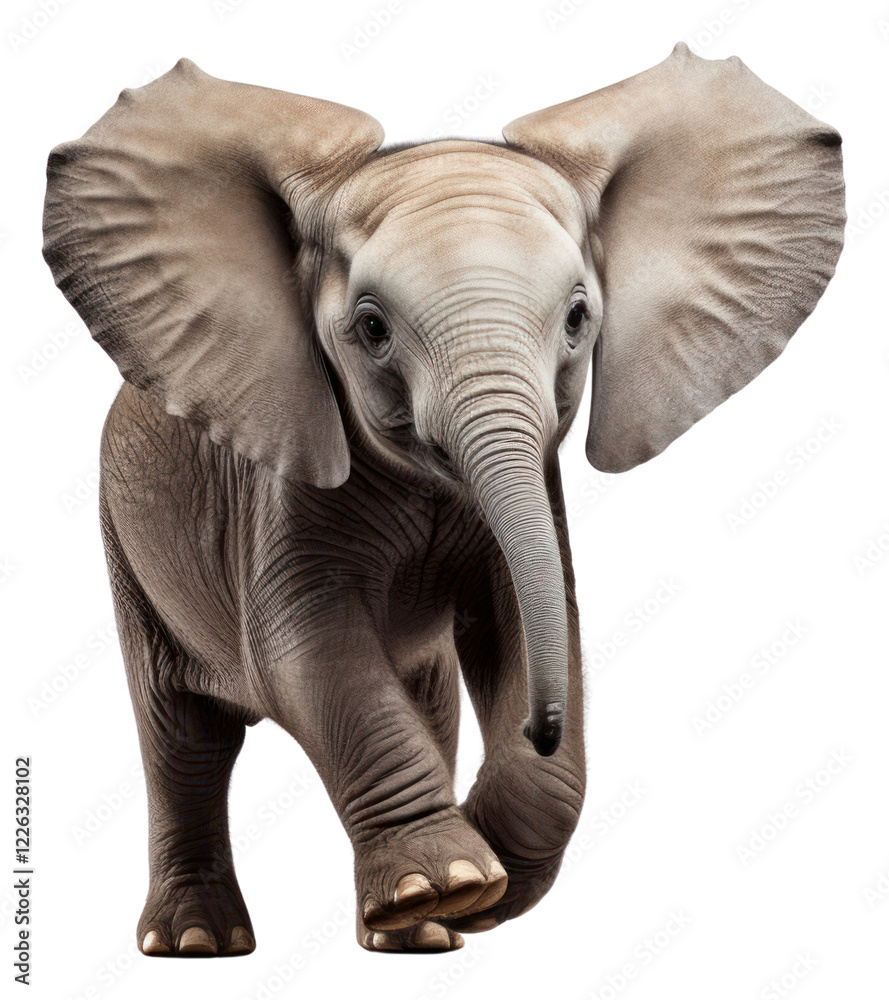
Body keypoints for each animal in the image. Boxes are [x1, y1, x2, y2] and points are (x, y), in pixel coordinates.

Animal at [42, 43, 844, 957]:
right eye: (371, 328)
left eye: (579, 318)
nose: (541, 727)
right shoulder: (280, 483)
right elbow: (305, 650)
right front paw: (452, 882)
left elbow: (525, 619)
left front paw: (474, 887)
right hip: (123, 540)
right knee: (184, 738)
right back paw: (201, 944)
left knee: (420, 694)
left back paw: (417, 938)